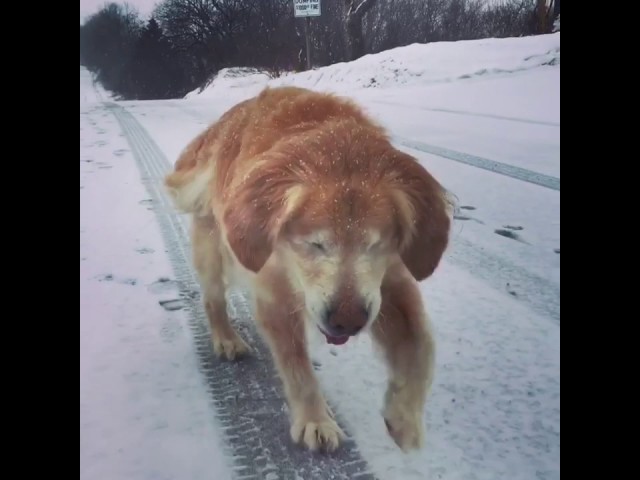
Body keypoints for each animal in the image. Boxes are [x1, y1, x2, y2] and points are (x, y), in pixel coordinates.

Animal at [165, 85, 456, 454]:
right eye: (315, 244)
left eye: (374, 245)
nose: (347, 321)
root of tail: (228, 119)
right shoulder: (273, 292)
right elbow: (297, 366)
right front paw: (315, 420)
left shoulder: (391, 281)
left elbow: (422, 347)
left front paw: (404, 419)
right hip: (211, 250)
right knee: (213, 299)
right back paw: (226, 339)